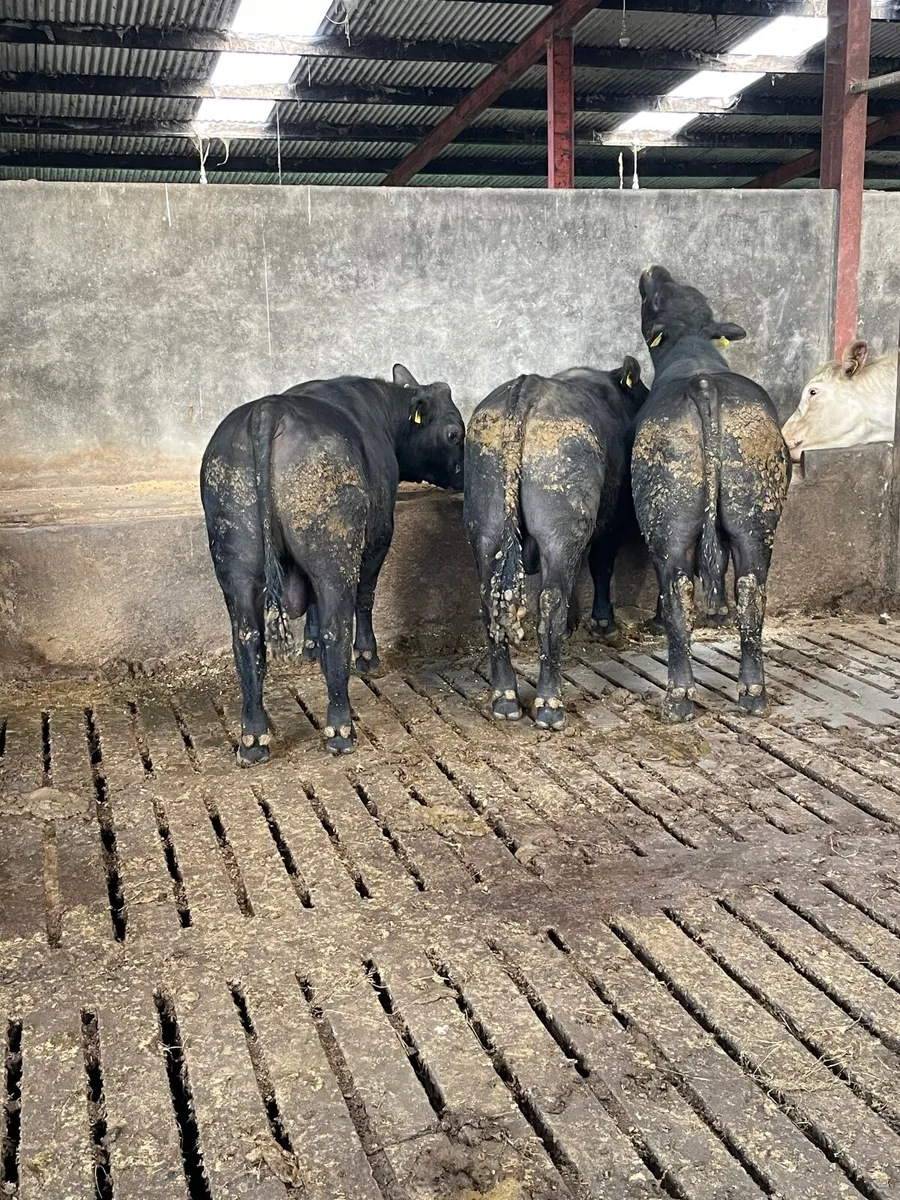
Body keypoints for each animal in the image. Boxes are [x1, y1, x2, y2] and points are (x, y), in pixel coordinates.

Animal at [200, 366, 465, 763]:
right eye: (454, 433)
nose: (465, 476)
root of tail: (268, 410)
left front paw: (309, 648)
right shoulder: (379, 536)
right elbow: (365, 598)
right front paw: (367, 657)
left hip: (235, 563)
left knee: (247, 640)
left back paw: (253, 738)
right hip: (334, 555)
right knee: (336, 629)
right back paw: (340, 729)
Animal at [464, 361, 649, 728]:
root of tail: (528, 386)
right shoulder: (614, 519)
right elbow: (602, 566)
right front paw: (604, 625)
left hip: (485, 528)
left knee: (490, 603)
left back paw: (505, 698)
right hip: (560, 534)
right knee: (551, 605)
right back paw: (550, 704)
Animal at [632, 265, 791, 722]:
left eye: (653, 301)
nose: (654, 270)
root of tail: (703, 385)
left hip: (667, 519)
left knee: (677, 592)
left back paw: (678, 695)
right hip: (753, 514)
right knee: (751, 590)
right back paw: (753, 690)